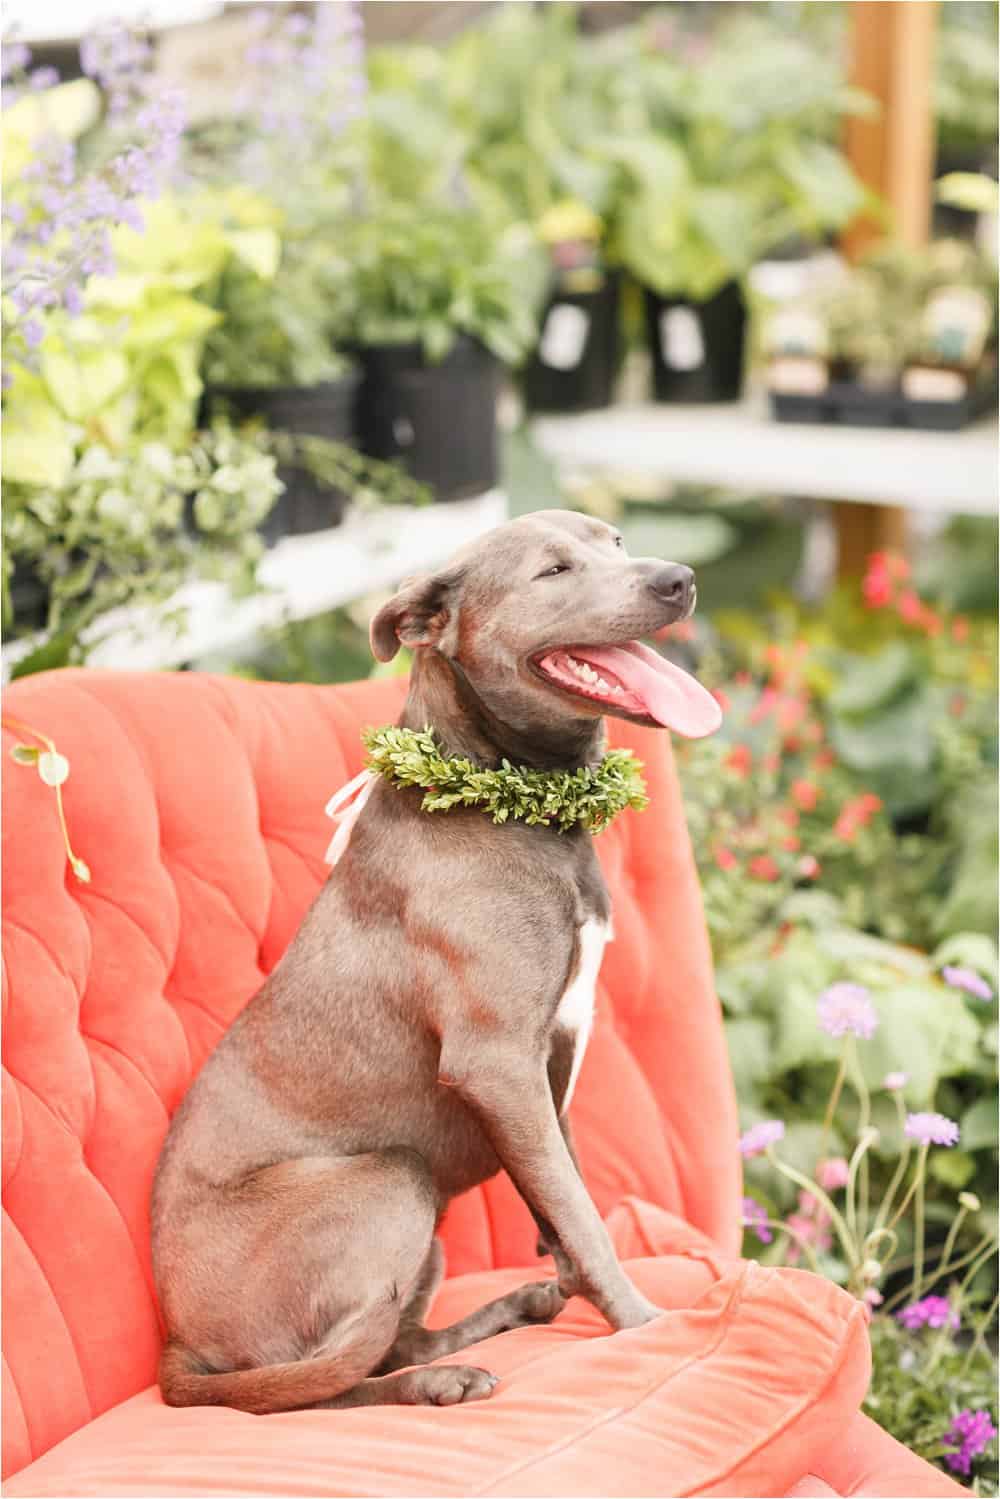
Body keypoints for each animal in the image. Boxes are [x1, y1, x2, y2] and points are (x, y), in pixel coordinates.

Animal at [152, 509, 719, 1409]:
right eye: (553, 570)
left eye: (618, 542)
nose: (679, 579)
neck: (498, 800)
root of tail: (177, 1345)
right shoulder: (500, 1065)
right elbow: (584, 1215)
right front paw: (643, 1321)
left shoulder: (548, 1073)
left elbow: (564, 1202)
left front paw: (578, 1289)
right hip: (393, 1177)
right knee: (322, 1380)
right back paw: (437, 1381)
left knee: (387, 1341)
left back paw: (497, 1322)